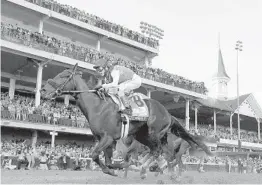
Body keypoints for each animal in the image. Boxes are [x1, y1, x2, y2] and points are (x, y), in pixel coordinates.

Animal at [41, 63, 213, 176]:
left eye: (63, 76)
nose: (42, 90)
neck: (98, 106)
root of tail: (168, 114)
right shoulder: (105, 139)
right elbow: (107, 159)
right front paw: (114, 168)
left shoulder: (108, 137)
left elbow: (95, 155)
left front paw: (117, 168)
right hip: (145, 136)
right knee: (162, 153)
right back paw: (154, 168)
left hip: (154, 133)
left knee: (159, 152)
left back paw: (147, 167)